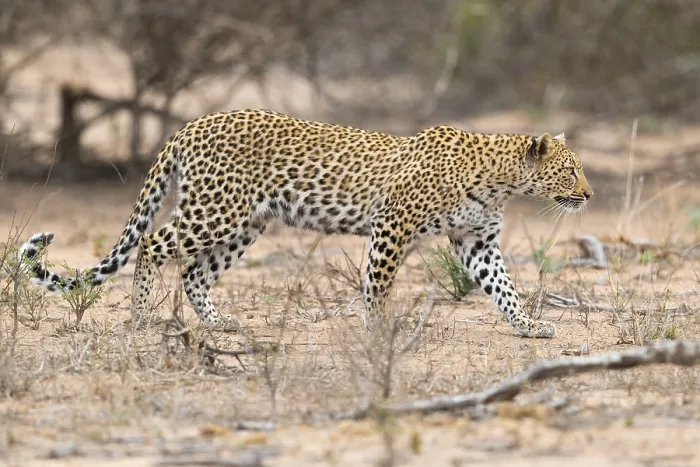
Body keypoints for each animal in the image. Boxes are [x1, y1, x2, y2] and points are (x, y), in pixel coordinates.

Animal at [18, 109, 593, 338]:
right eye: (570, 170)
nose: (589, 194)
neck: (502, 181)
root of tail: (193, 123)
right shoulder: (393, 226)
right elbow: (378, 285)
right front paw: (377, 333)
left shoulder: (477, 242)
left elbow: (504, 288)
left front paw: (529, 326)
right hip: (213, 211)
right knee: (153, 245)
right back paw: (140, 317)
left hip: (246, 224)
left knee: (195, 272)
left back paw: (219, 324)